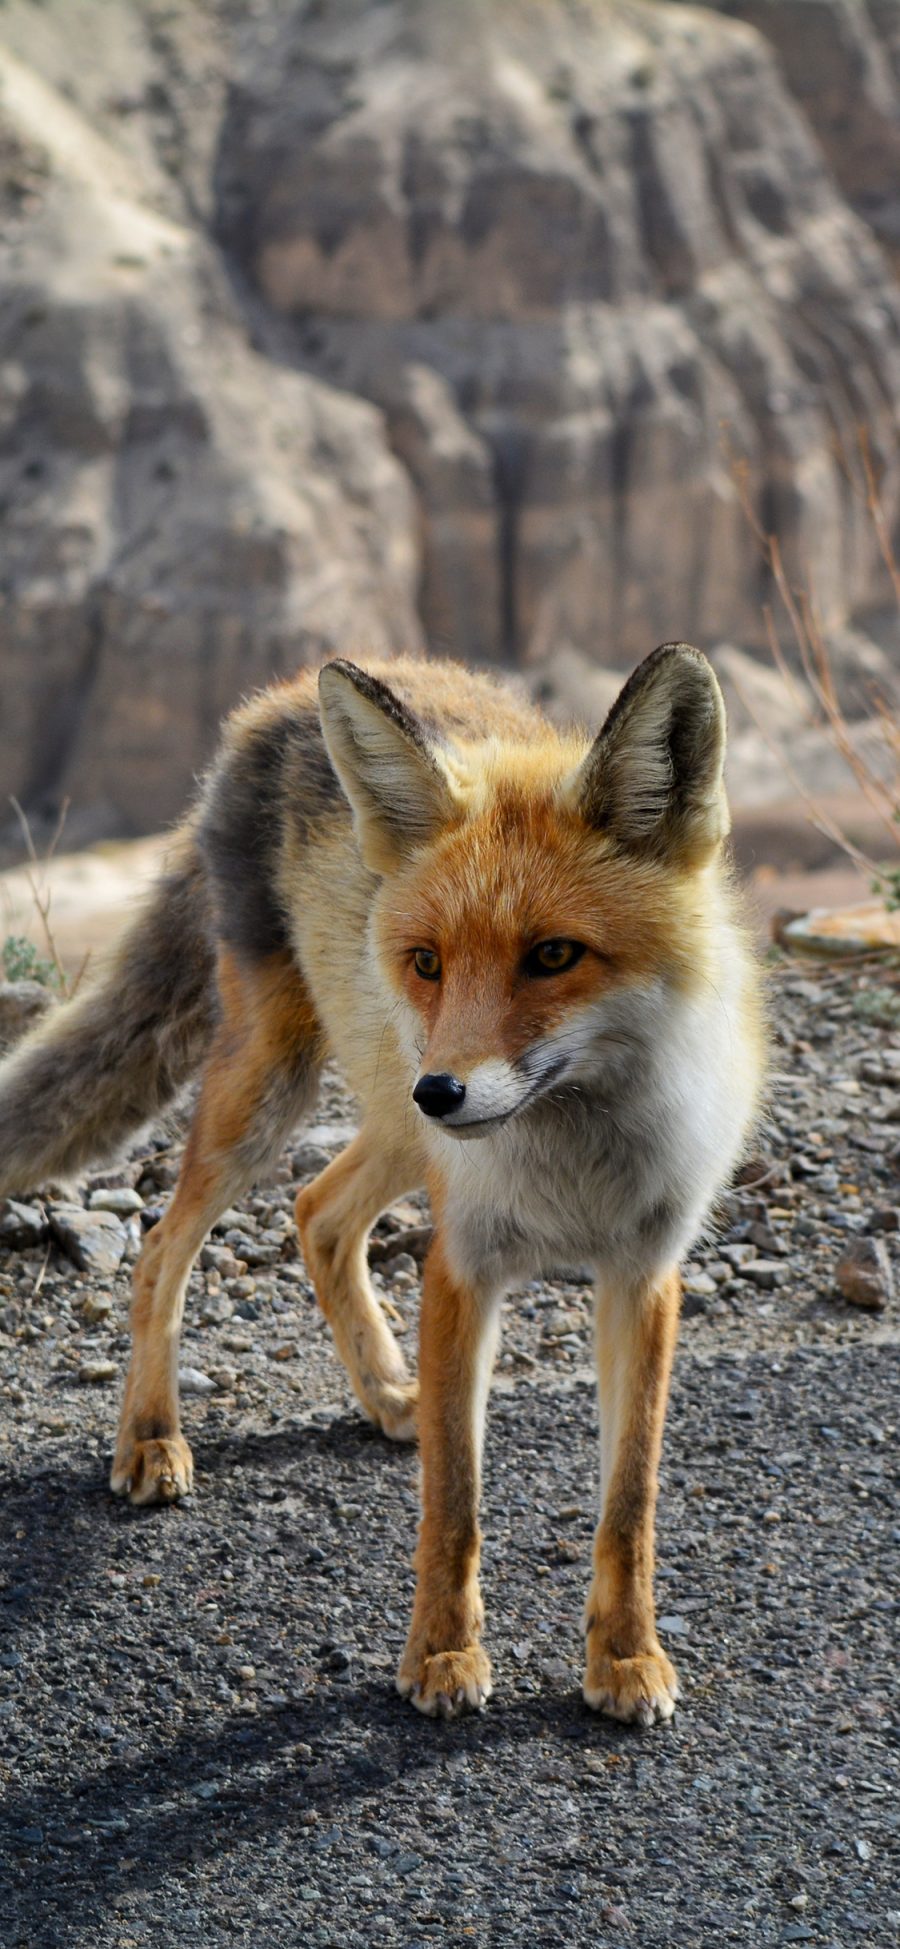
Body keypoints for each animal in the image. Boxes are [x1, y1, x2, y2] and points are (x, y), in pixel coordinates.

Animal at [0, 647, 763, 1730]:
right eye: (429, 960)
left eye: (553, 954)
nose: (441, 1087)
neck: (573, 1169)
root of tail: (270, 701)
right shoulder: (462, 1266)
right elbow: (454, 1502)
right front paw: (441, 1655)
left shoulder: (645, 1275)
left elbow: (628, 1503)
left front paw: (624, 1656)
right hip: (277, 1091)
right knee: (162, 1245)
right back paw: (151, 1435)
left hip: (395, 1130)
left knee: (317, 1212)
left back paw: (385, 1391)